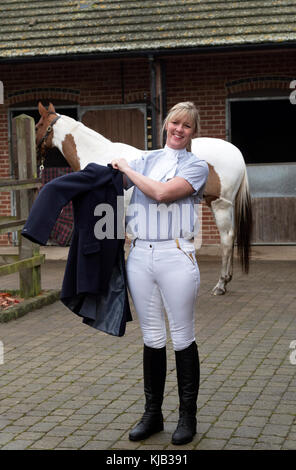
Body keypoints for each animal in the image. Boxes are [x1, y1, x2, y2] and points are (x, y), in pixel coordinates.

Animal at [34, 102, 252, 294]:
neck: (98, 154)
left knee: (227, 238)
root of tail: (237, 153)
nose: (37, 157)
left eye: (37, 126)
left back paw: (221, 285)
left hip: (220, 204)